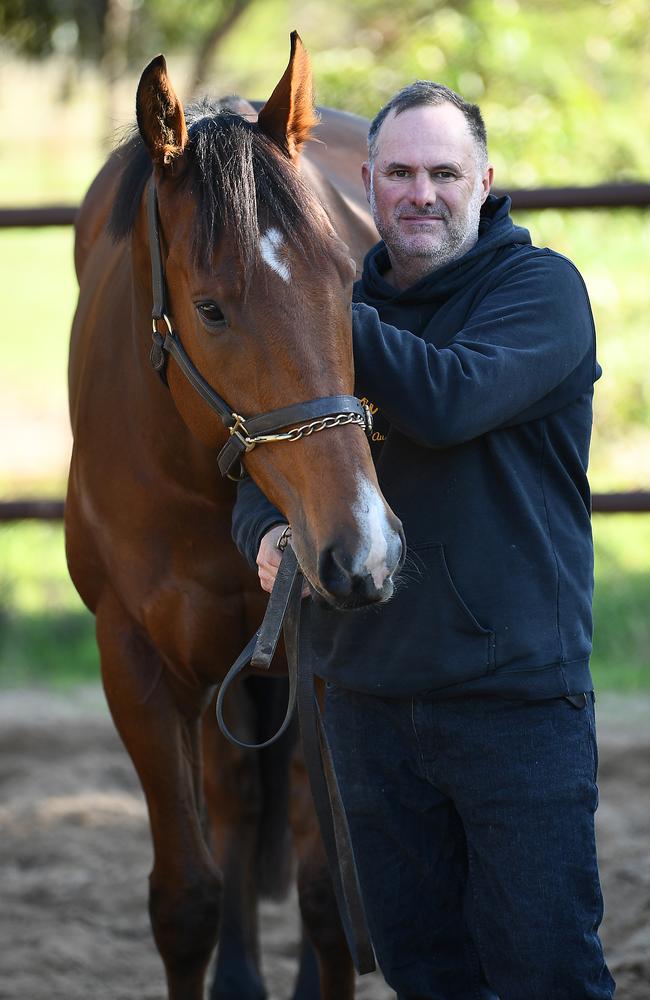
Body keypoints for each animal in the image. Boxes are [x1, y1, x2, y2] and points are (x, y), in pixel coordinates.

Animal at [64, 31, 400, 1000]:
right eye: (211, 307)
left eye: (349, 283)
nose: (363, 550)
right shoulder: (133, 658)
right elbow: (186, 900)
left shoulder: (311, 656)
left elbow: (330, 899)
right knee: (237, 800)